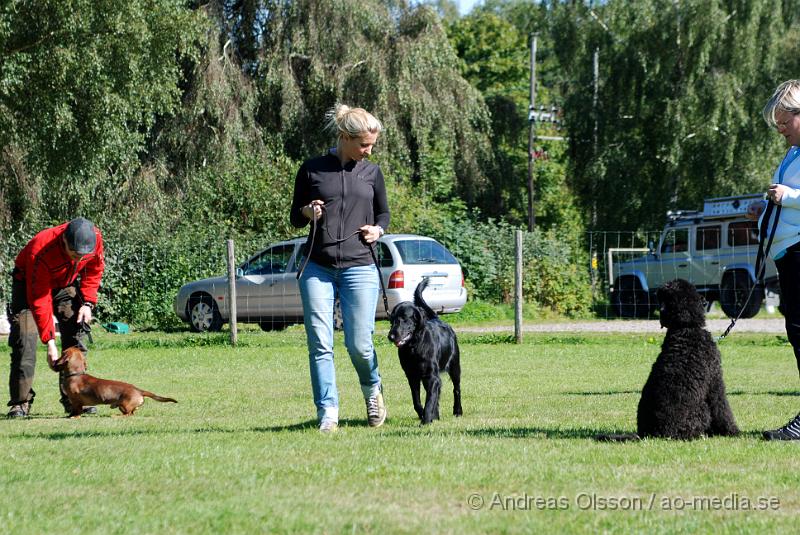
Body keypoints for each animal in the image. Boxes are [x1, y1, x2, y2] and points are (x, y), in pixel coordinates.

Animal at [388, 278, 462, 426]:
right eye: (392, 319)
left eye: (404, 318)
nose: (391, 336)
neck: (414, 347)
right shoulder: (412, 377)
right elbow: (417, 401)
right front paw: (425, 416)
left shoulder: (431, 376)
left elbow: (429, 400)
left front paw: (426, 420)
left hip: (455, 366)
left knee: (456, 389)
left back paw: (457, 411)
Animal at [600, 278, 736, 442]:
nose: (705, 300)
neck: (684, 329)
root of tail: (648, 434)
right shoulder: (715, 381)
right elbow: (723, 409)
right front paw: (733, 431)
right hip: (701, 410)